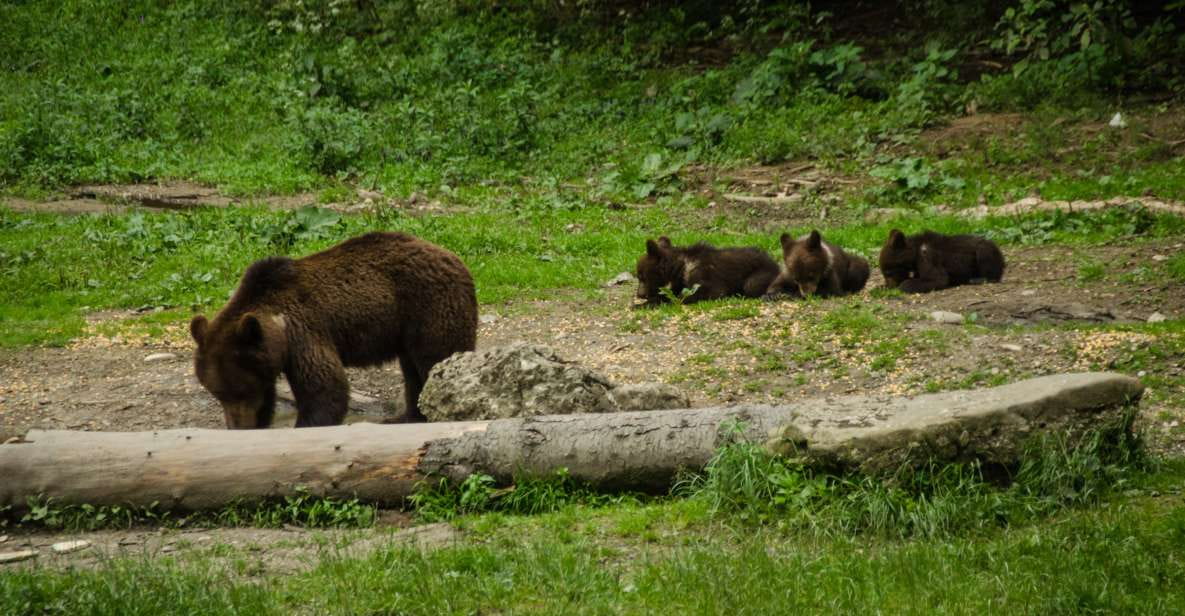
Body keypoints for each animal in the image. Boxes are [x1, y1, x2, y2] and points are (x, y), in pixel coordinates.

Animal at [189, 231, 477, 428]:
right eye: (217, 393)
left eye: (241, 390)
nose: (239, 426)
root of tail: (455, 258)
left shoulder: (303, 333)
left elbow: (325, 388)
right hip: (406, 328)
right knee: (413, 372)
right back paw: (406, 417)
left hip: (430, 307)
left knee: (437, 358)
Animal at [634, 236, 780, 307]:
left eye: (642, 276)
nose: (640, 294)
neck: (681, 268)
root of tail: (774, 263)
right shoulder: (680, 282)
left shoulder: (704, 275)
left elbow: (705, 292)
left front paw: (644, 304)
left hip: (758, 274)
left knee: (752, 285)